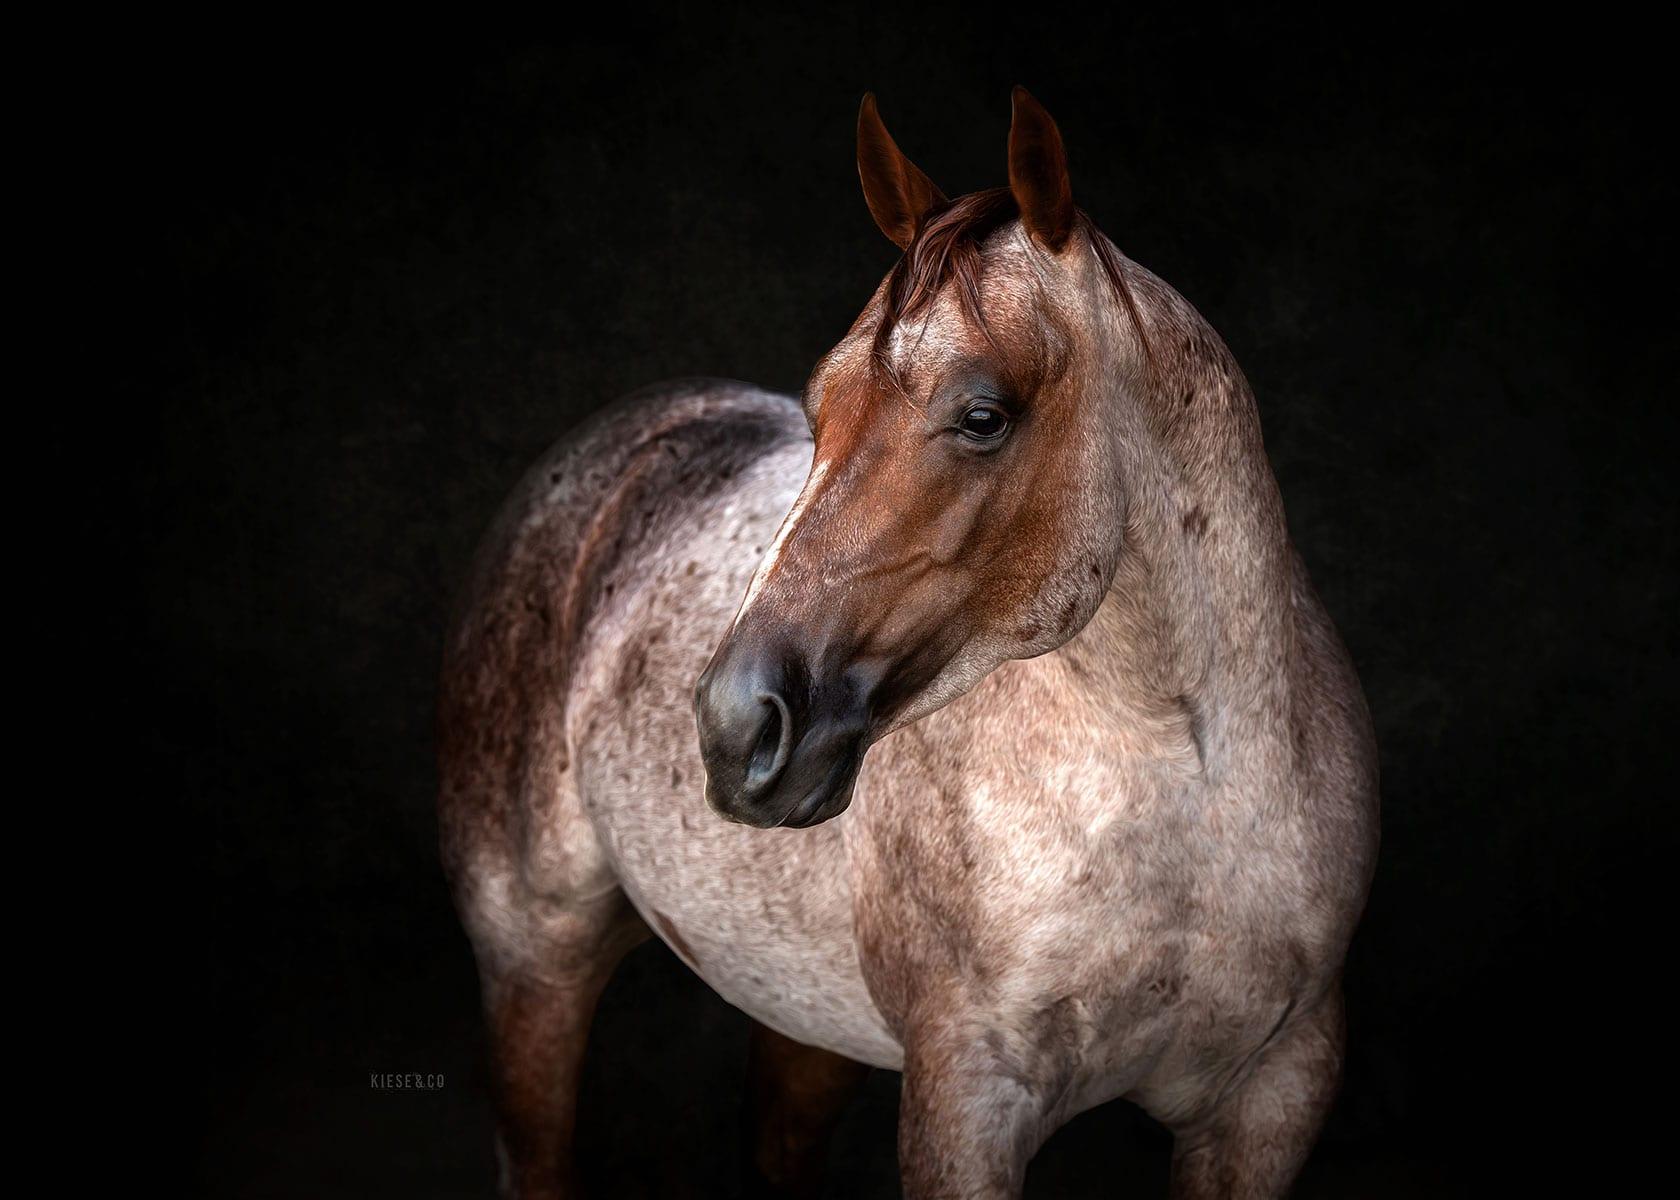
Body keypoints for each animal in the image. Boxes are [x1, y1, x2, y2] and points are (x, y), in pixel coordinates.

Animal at [439, 88, 1378, 1200]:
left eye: (982, 416)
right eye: (821, 403)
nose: (732, 726)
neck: (1189, 785)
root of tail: (625, 438)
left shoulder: (1274, 1096)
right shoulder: (967, 1100)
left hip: (804, 1027)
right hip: (534, 974)